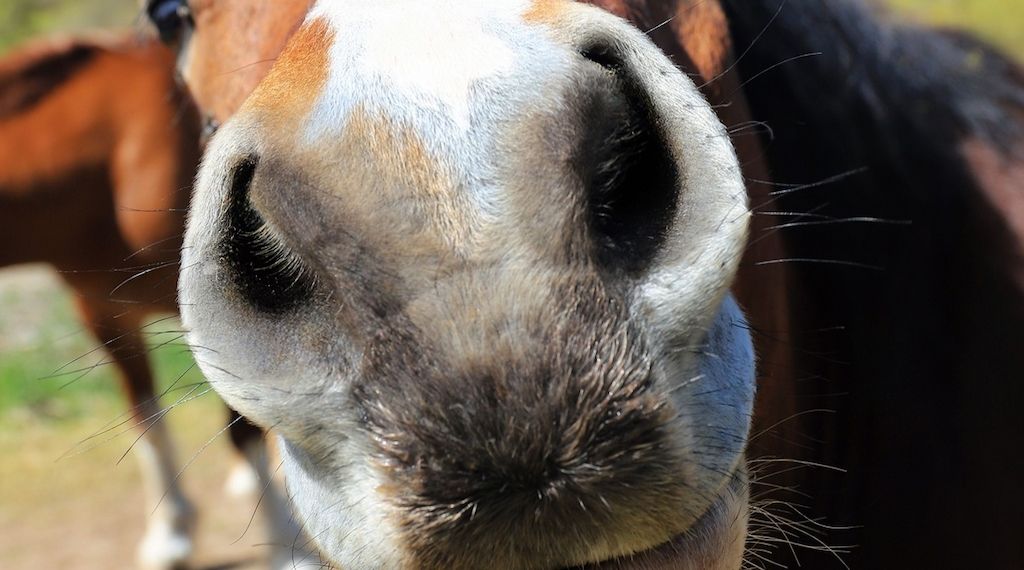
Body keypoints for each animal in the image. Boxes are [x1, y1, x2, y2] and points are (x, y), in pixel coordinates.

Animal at [0, 34, 302, 569]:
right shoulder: (102, 312)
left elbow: (239, 427)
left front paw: (283, 541)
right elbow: (146, 420)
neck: (111, 161)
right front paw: (170, 534)